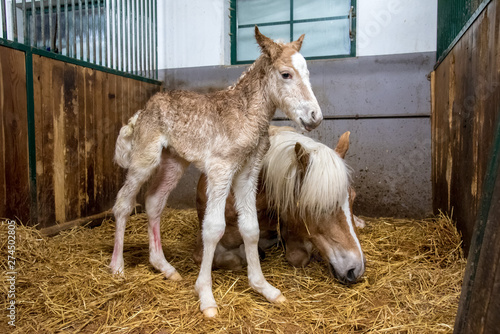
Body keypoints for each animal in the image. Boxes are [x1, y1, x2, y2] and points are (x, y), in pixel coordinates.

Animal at [109, 27, 322, 318]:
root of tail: (143, 110)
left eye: (308, 72)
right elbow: (213, 228)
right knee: (123, 203)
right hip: (145, 158)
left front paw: (264, 287)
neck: (246, 115)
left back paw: (164, 267)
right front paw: (206, 297)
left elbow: (251, 228)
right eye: (286, 74)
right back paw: (117, 267)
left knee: (153, 203)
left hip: (173, 161)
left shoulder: (248, 172)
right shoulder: (221, 169)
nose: (315, 117)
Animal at [193, 128, 366, 284]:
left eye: (353, 197)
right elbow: (225, 259)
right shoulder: (202, 249)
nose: (356, 269)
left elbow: (298, 256)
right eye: (320, 206)